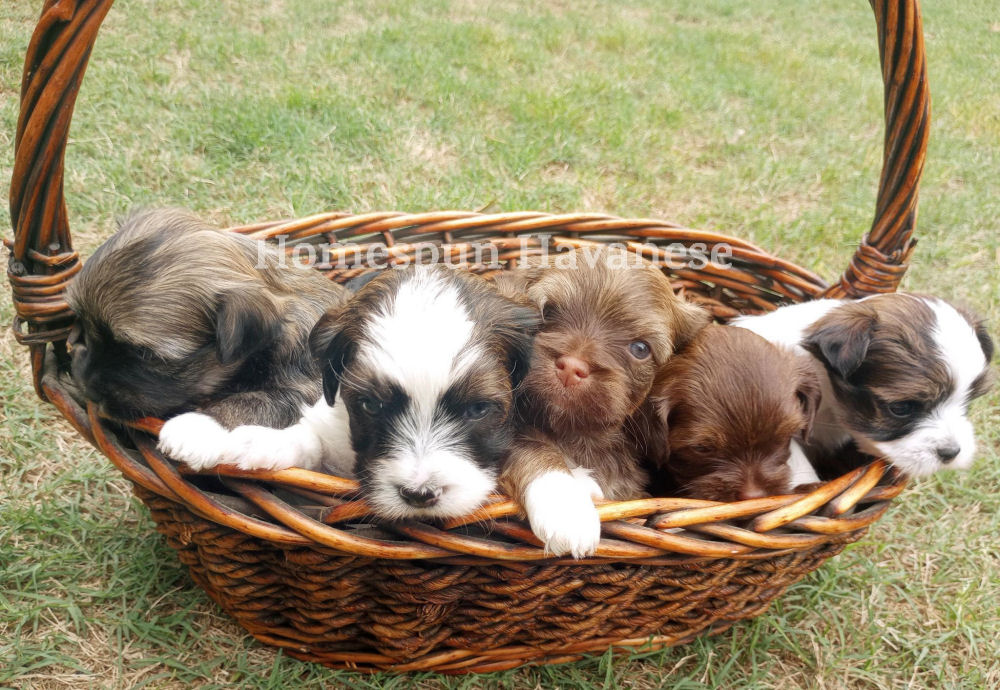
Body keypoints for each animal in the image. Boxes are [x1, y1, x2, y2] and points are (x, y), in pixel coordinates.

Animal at [496, 245, 708, 556]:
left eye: (640, 348)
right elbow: (529, 445)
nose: (571, 367)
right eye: (546, 313)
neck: (576, 435)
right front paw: (565, 506)